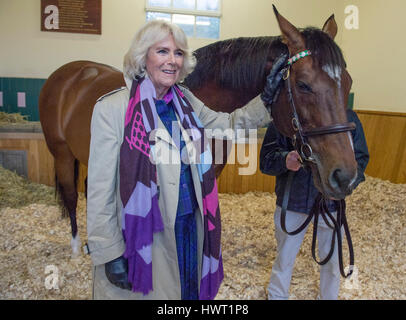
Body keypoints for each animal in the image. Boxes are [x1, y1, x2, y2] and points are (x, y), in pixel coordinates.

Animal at [38, 7, 356, 256]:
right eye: (303, 84)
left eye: (348, 83)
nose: (344, 177)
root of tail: (69, 73)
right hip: (62, 153)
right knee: (71, 195)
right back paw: (77, 248)